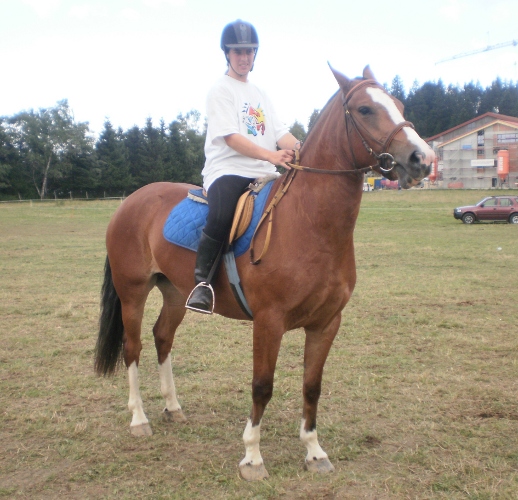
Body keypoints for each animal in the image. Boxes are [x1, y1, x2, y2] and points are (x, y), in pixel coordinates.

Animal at [95, 65, 436, 480]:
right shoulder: (268, 321)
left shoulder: (326, 323)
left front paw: (314, 452)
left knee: (162, 338)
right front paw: (252, 457)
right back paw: (139, 419)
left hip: (175, 292)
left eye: (399, 105)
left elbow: (312, 385)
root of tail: (131, 201)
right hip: (132, 291)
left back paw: (172, 408)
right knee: (133, 348)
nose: (423, 157)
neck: (308, 221)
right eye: (365, 109)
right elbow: (262, 385)